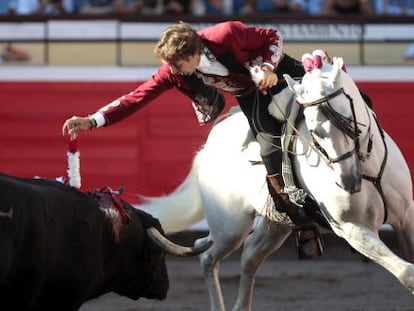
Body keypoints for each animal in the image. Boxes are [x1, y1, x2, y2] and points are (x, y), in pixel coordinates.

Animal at [139, 54, 414, 310]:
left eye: (346, 118)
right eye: (313, 132)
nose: (347, 180)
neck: (367, 170)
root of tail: (209, 147)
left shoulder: (406, 216)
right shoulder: (351, 229)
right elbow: (407, 272)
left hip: (276, 225)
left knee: (249, 255)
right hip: (230, 226)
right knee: (207, 256)